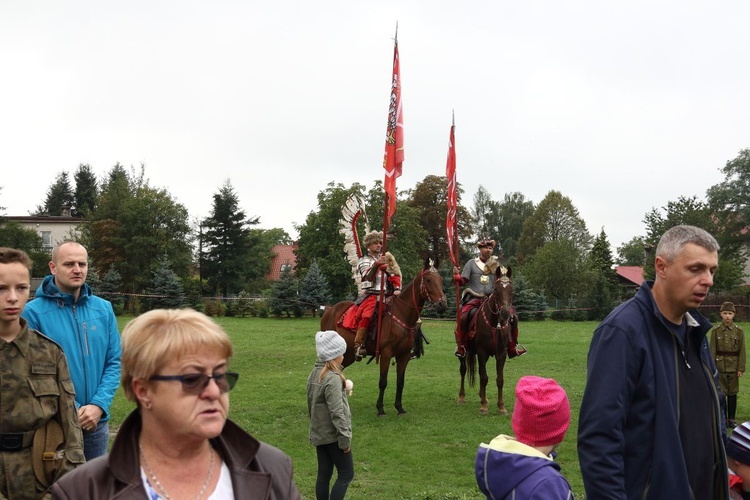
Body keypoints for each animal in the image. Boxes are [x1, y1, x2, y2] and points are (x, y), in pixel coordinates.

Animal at [322, 256, 446, 416]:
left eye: (441, 279)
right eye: (429, 280)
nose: (442, 305)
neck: (401, 314)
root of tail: (329, 310)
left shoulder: (404, 355)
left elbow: (400, 382)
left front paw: (399, 408)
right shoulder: (386, 354)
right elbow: (383, 382)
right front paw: (380, 408)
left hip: (348, 354)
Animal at [458, 266, 516, 414]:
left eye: (511, 289)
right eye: (496, 289)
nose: (505, 313)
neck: (495, 324)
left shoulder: (501, 354)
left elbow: (499, 379)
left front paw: (501, 407)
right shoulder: (482, 352)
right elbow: (484, 378)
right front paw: (483, 406)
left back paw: (481, 395)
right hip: (464, 352)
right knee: (463, 370)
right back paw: (461, 396)